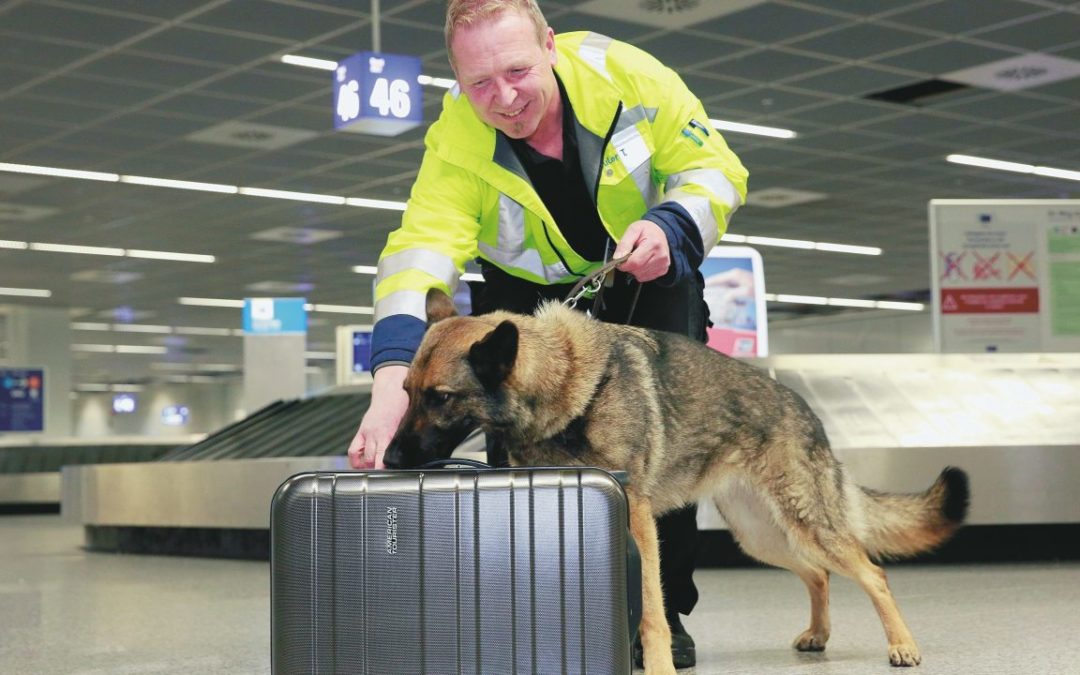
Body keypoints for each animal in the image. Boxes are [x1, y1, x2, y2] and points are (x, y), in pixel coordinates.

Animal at [386, 291, 972, 673]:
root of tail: (804, 407)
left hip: (806, 523)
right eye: (407, 391)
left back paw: (902, 645)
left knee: (873, 573)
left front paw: (659, 665)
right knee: (818, 575)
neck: (568, 382)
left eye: (441, 398)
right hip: (762, 536)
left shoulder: (640, 524)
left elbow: (652, 612)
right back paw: (818, 634)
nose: (389, 459)